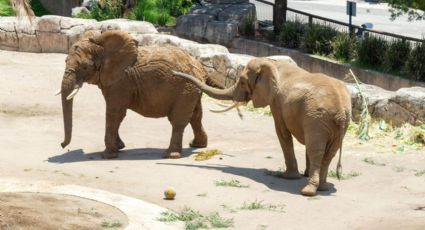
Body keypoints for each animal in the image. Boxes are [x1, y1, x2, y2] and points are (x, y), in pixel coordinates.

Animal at [57, 30, 207, 160]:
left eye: (84, 67)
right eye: (65, 61)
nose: (62, 145)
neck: (103, 48)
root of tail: (199, 67)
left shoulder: (121, 82)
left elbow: (115, 113)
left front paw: (108, 155)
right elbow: (116, 115)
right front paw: (119, 147)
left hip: (186, 89)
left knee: (178, 120)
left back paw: (171, 155)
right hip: (191, 89)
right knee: (196, 116)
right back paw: (197, 145)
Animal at [172, 57, 352, 196]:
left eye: (242, 82)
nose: (174, 73)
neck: (272, 63)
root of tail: (341, 110)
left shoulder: (277, 101)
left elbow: (282, 132)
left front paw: (288, 177)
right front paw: (301, 175)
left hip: (317, 119)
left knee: (316, 149)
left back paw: (308, 191)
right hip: (333, 124)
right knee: (329, 153)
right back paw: (323, 188)